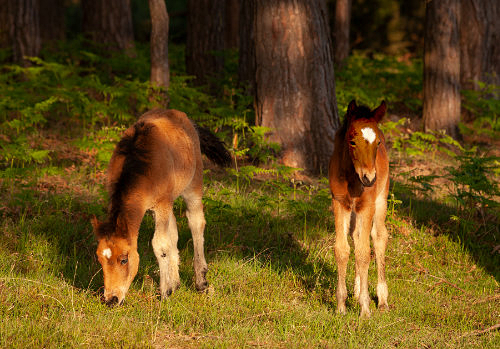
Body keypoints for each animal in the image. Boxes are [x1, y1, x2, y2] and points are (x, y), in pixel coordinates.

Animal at [91, 108, 230, 304]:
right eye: (99, 259)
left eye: (124, 259)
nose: (111, 299)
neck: (142, 166)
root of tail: (186, 119)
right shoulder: (157, 207)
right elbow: (168, 240)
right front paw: (171, 286)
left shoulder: (162, 204)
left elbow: (160, 244)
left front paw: (165, 293)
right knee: (174, 232)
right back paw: (177, 281)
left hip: (193, 185)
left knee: (196, 224)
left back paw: (201, 282)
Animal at [330, 99, 388, 316]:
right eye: (352, 141)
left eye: (377, 143)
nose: (369, 178)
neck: (351, 176)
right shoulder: (339, 203)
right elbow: (342, 249)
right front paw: (341, 306)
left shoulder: (367, 205)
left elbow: (364, 253)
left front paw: (365, 308)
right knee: (355, 236)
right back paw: (355, 291)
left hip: (381, 200)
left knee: (379, 237)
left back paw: (382, 300)